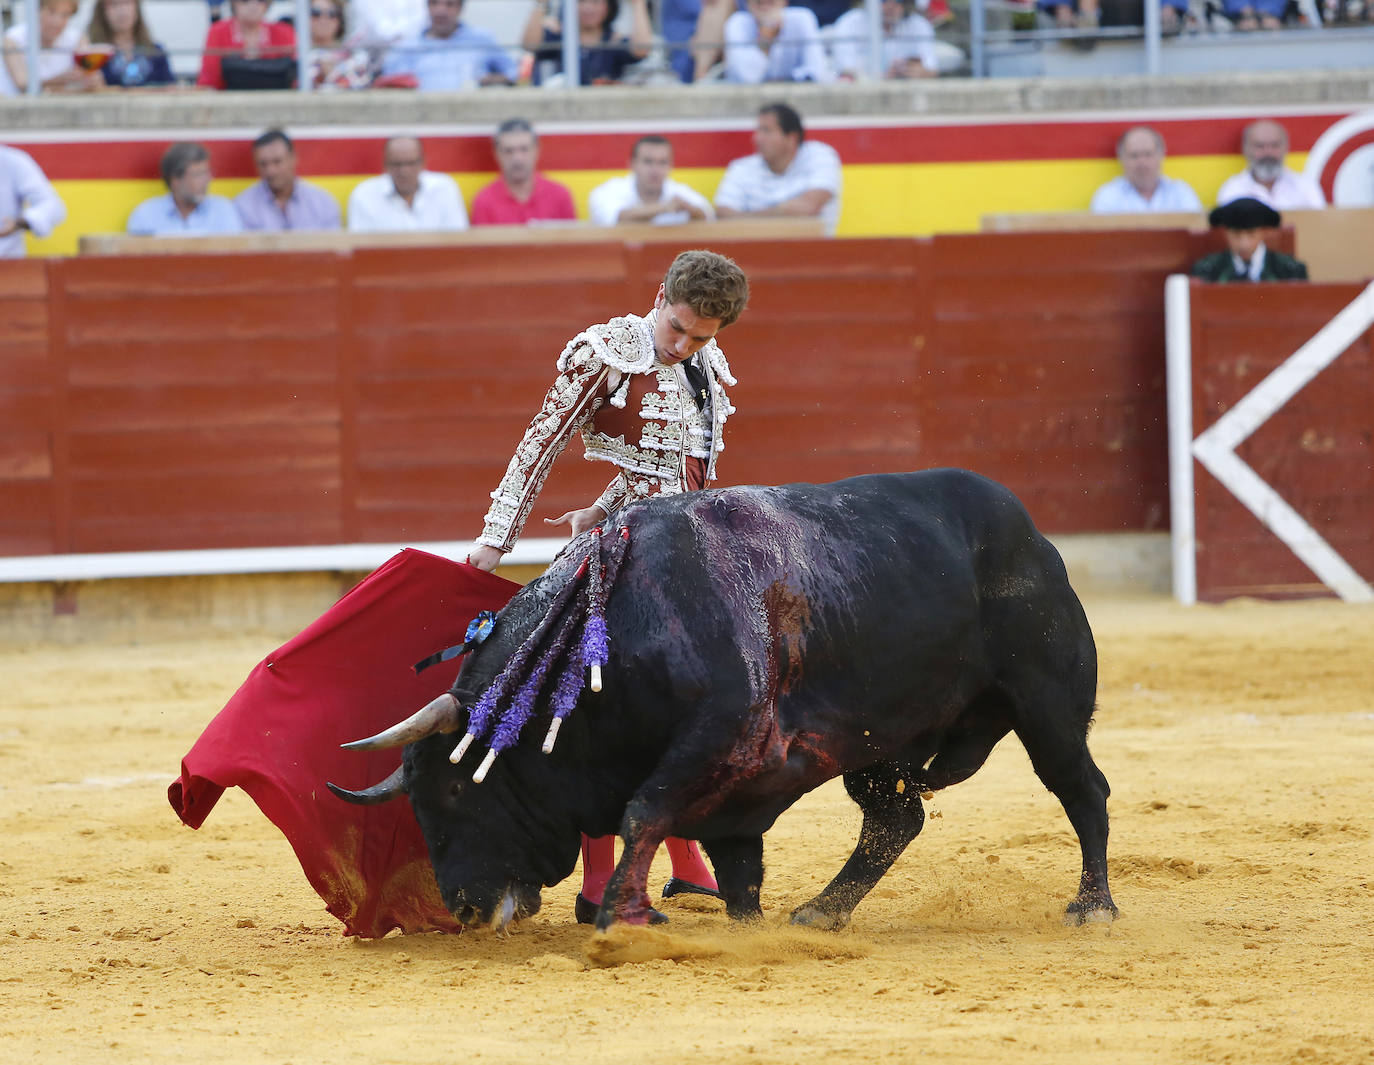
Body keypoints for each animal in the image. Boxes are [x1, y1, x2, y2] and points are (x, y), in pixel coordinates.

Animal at [329, 472, 1115, 934]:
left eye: (457, 790)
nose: (460, 905)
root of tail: (1028, 530)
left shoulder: (718, 737)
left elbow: (642, 812)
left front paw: (619, 919)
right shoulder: (735, 788)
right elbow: (734, 866)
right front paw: (745, 929)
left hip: (1046, 701)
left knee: (1082, 787)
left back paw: (1093, 906)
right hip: (878, 741)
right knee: (896, 818)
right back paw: (820, 911)